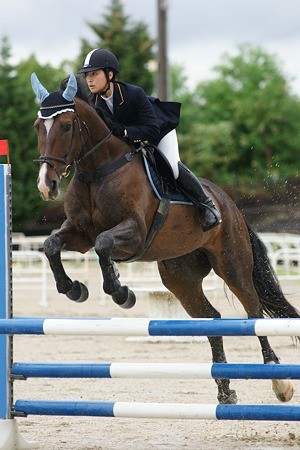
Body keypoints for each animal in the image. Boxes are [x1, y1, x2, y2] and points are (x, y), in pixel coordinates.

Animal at [31, 73, 298, 404]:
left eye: (67, 126)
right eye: (38, 126)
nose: (47, 185)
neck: (98, 170)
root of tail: (229, 204)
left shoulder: (134, 232)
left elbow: (104, 244)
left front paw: (121, 293)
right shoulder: (79, 235)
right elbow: (52, 245)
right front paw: (74, 289)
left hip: (233, 265)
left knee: (253, 312)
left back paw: (279, 380)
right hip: (180, 276)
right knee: (211, 318)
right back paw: (225, 391)